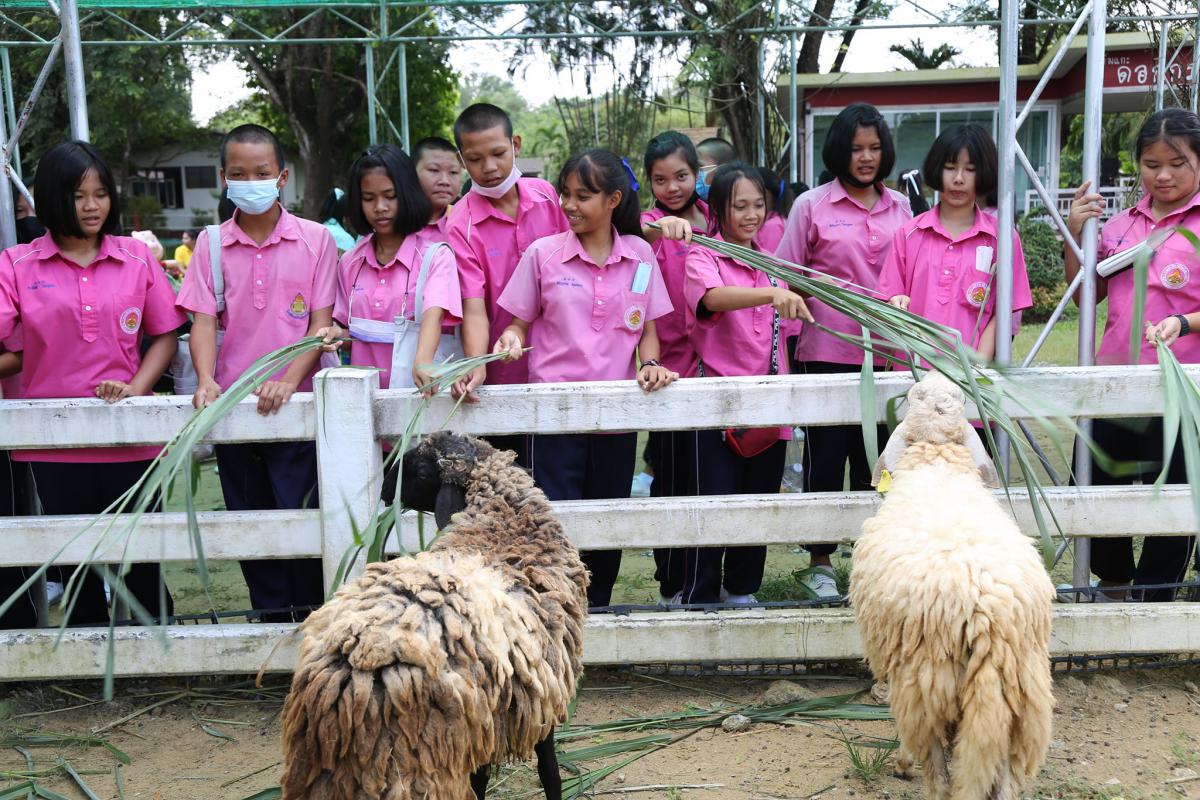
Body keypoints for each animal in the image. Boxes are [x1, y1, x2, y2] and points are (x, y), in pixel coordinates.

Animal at [279, 431, 589, 800]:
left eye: (423, 470)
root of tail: (348, 670)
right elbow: (547, 770)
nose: (386, 488)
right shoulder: (535, 698)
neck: (504, 526)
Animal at [849, 372, 1055, 800]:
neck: (937, 459)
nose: (930, 372)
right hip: (1019, 696)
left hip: (929, 684)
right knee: (1004, 781)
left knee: (940, 775)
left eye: (912, 397)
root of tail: (984, 617)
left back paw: (911, 768)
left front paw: (901, 763)